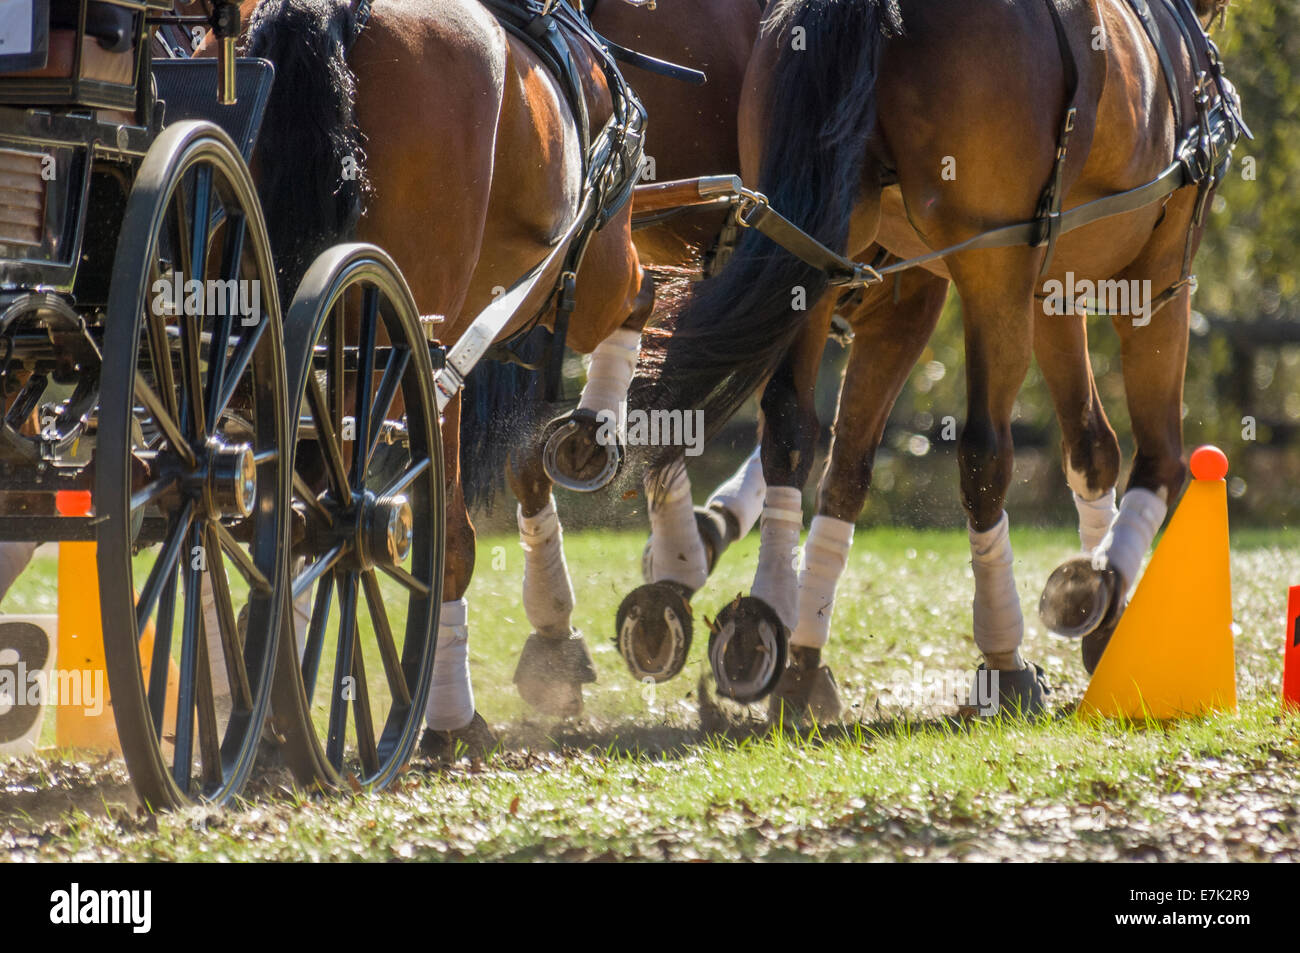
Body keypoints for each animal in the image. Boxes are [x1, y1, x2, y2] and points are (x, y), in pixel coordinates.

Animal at [635, 0, 1243, 716]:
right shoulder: (1155, 276)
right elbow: (1161, 458)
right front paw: (1097, 592)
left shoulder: (1045, 285)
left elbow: (1090, 447)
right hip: (988, 264)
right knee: (984, 452)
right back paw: (1006, 660)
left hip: (813, 247)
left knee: (794, 432)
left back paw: (779, 645)